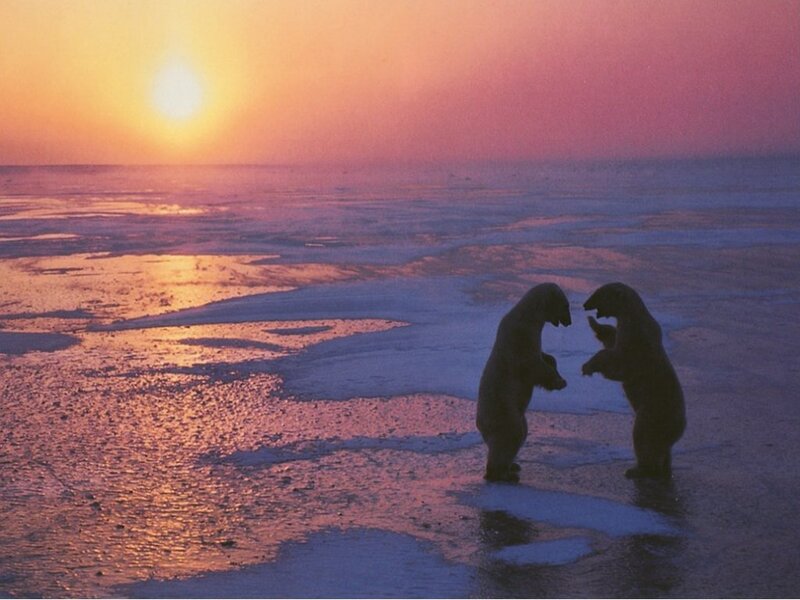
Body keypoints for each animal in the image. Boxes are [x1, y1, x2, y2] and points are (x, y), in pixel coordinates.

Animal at [477, 282, 571, 482]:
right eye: (566, 305)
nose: (569, 321)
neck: (527, 316)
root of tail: (481, 426)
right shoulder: (521, 337)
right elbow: (533, 365)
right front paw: (560, 382)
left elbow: (545, 357)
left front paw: (556, 369)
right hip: (503, 411)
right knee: (512, 434)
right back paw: (503, 474)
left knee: (522, 432)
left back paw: (513, 466)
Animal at [581, 282, 686, 479]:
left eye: (599, 293)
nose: (585, 304)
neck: (635, 315)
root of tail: (681, 428)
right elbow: (612, 340)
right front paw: (596, 325)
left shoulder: (636, 341)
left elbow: (619, 363)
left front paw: (588, 366)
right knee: (661, 448)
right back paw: (663, 468)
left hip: (654, 412)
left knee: (643, 437)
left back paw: (637, 470)